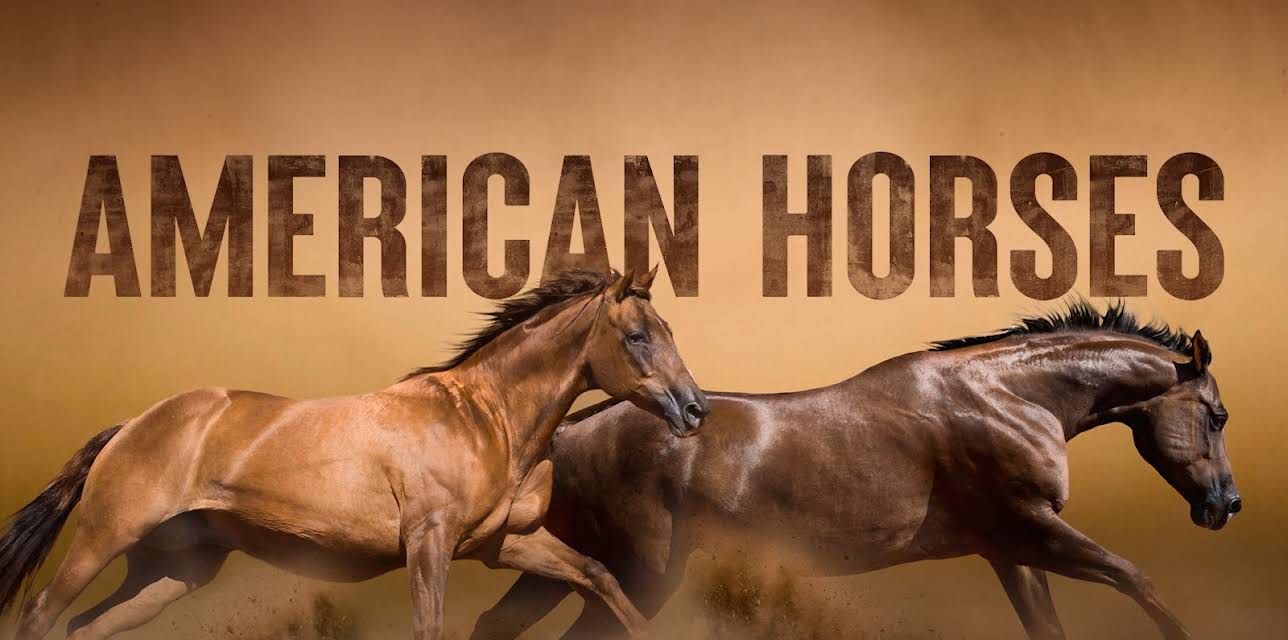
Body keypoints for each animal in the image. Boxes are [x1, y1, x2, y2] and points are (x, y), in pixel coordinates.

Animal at [0, 267, 709, 640]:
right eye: (639, 336)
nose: (695, 409)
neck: (482, 418)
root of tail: (130, 425)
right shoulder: (428, 542)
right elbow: (430, 625)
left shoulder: (499, 543)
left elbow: (598, 576)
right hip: (105, 536)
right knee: (40, 613)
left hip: (171, 572)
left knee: (84, 628)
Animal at [471, 301, 1237, 640]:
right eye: (1218, 415)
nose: (1225, 505)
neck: (1008, 397)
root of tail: (567, 430)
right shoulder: (1031, 529)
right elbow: (1137, 579)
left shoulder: (1010, 549)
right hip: (642, 575)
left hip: (573, 567)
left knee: (493, 623)